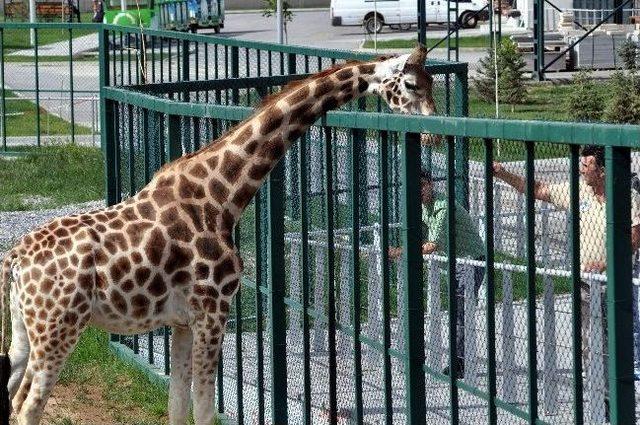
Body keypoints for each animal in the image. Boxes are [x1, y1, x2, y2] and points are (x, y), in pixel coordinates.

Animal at [0, 44, 438, 422]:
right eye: (412, 84)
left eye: (433, 81)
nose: (433, 132)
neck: (223, 195)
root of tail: (16, 257)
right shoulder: (213, 310)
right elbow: (204, 407)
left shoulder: (181, 321)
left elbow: (178, 406)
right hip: (58, 328)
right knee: (28, 407)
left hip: (24, 332)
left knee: (11, 393)